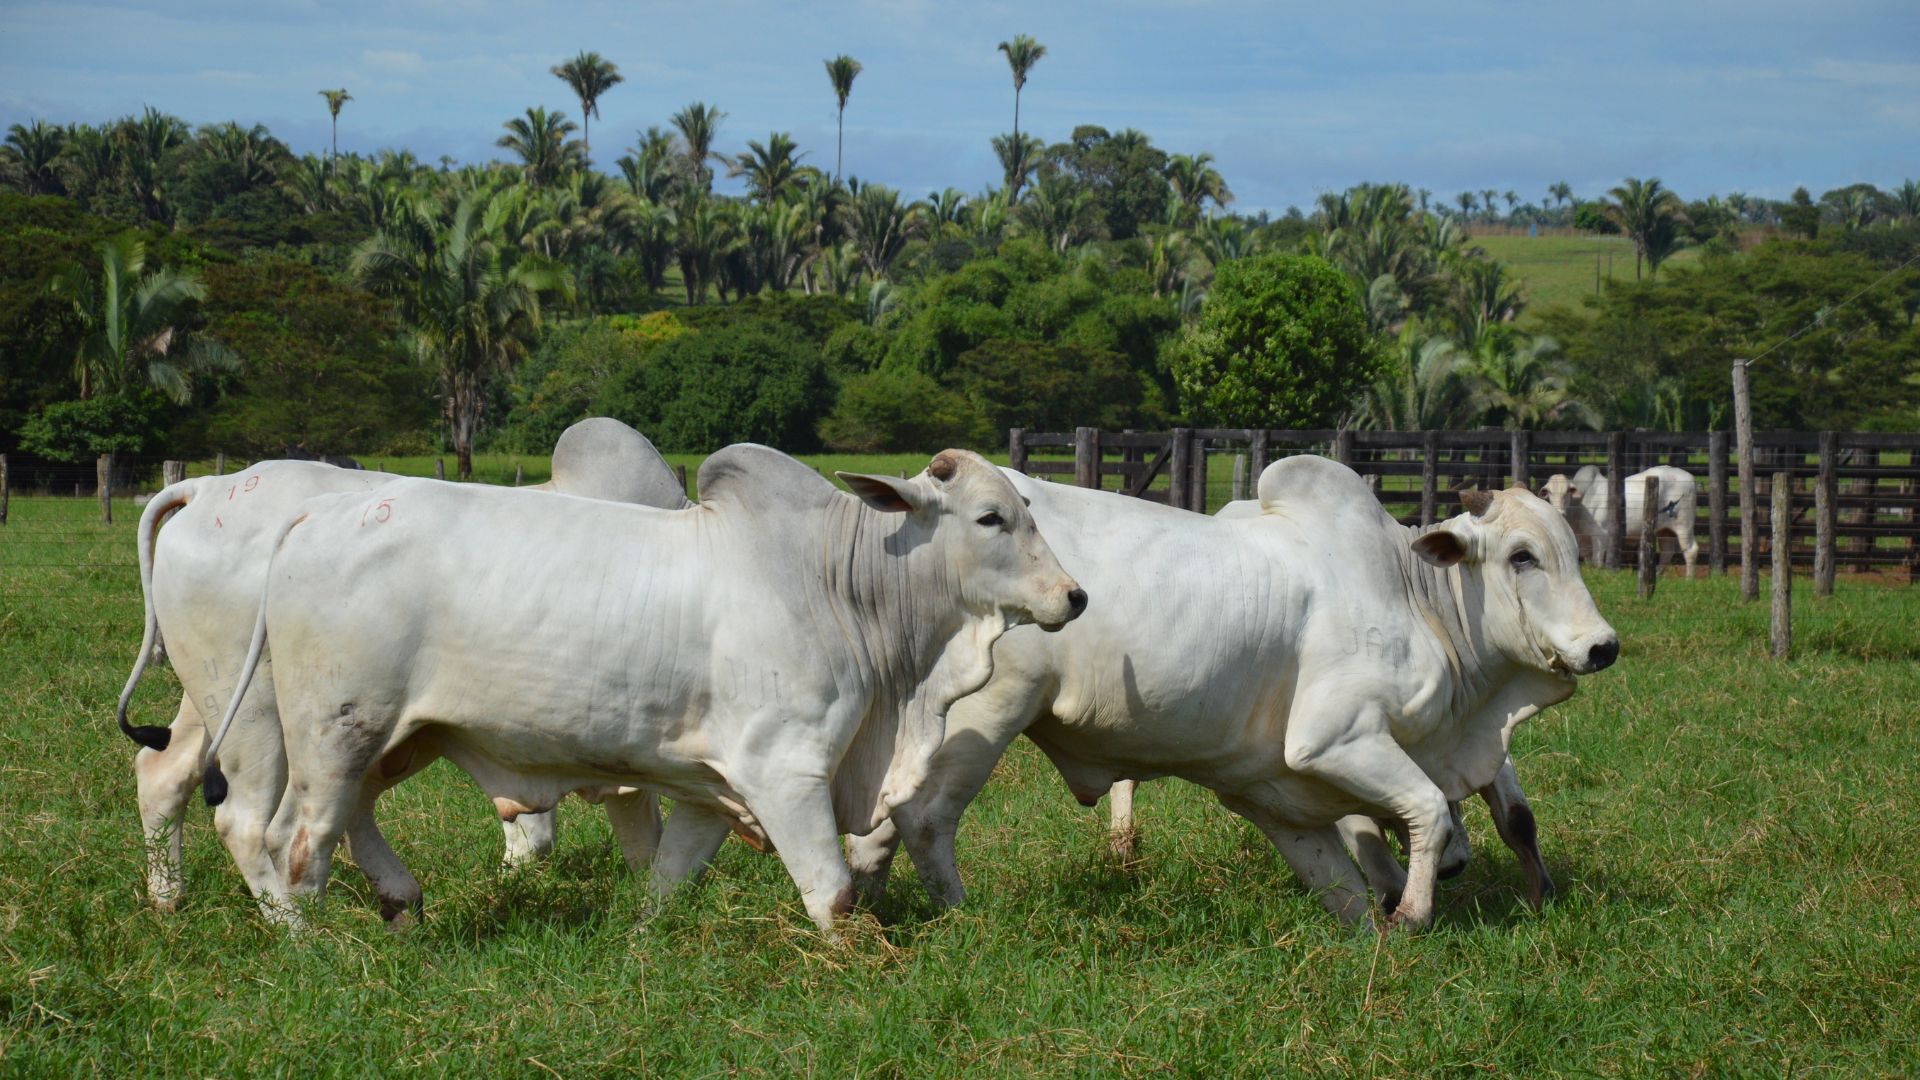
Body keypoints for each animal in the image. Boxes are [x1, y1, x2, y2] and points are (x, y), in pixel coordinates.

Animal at [120, 413, 691, 907]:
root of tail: (207, 490)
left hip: (217, 692)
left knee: (163, 770)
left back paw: (168, 899)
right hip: (262, 713)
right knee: (244, 820)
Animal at [212, 441, 1090, 930]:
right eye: (990, 518)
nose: (1075, 596)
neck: (837, 584)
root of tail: (323, 513)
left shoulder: (713, 784)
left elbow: (668, 881)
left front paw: (639, 939)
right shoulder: (786, 768)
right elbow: (832, 893)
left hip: (399, 735)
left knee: (344, 819)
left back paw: (399, 902)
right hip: (334, 731)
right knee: (289, 839)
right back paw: (310, 944)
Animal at [848, 453, 1612, 926]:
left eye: (1574, 551)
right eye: (1521, 556)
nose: (1602, 646)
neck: (1417, 597)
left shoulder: (1276, 790)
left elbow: (1356, 882)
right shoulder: (1336, 737)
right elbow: (1428, 810)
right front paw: (1416, 914)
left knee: (880, 825)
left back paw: (865, 910)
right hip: (987, 713)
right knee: (924, 818)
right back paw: (958, 915)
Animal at [1536, 465, 1704, 580]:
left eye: (1567, 492)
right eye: (1548, 492)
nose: (1559, 513)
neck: (1580, 504)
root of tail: (1691, 478)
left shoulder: (1600, 536)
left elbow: (1597, 562)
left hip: (1684, 526)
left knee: (1690, 550)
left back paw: (1689, 579)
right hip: (1664, 530)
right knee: (1667, 552)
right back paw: (1656, 575)